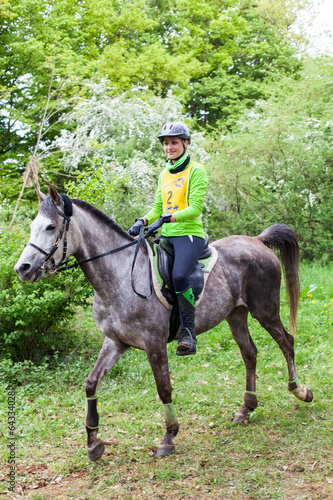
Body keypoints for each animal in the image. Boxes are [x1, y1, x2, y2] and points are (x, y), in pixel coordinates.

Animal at [14, 187, 312, 460]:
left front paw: (169, 437)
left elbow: (164, 388)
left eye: (51, 226)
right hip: (235, 314)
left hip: (265, 310)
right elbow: (91, 383)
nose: (23, 269)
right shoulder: (115, 341)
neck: (120, 275)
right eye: (32, 226)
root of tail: (257, 240)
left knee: (287, 342)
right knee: (250, 353)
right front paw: (93, 441)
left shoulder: (154, 343)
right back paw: (246, 408)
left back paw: (299, 390)